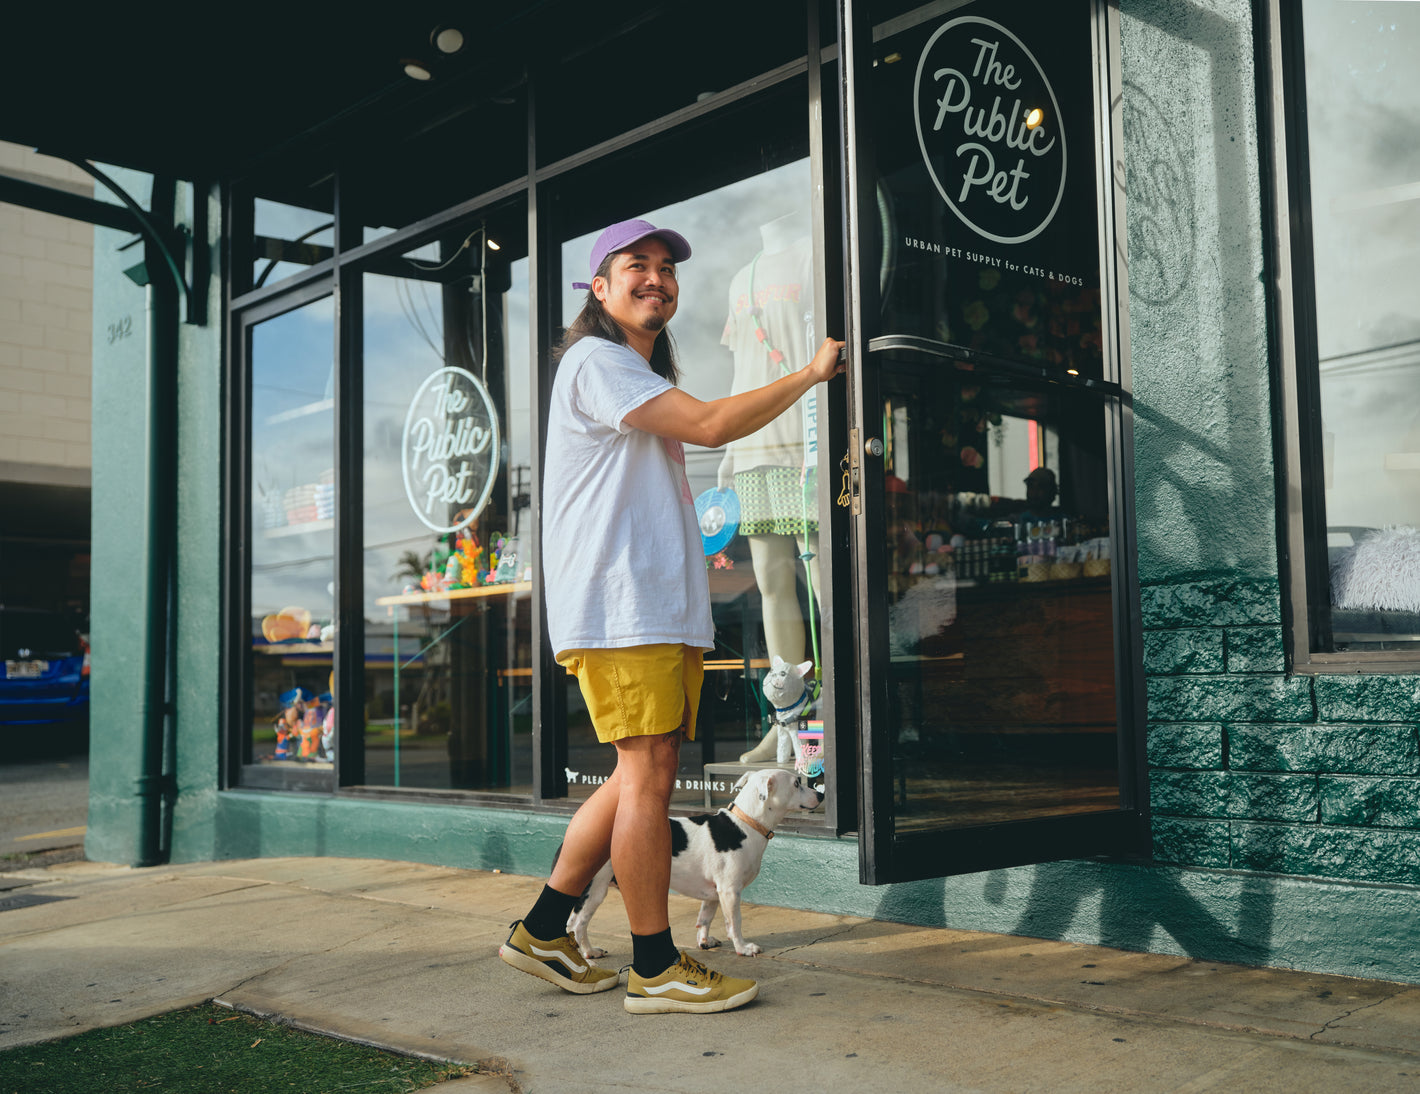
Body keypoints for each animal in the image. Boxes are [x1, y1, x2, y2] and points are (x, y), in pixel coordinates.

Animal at [568, 767, 823, 954]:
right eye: (797, 783)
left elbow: (704, 919)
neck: (745, 824)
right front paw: (743, 948)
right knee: (577, 925)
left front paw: (704, 941)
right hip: (595, 889)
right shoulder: (730, 891)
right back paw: (589, 953)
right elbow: (735, 923)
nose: (821, 794)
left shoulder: (713, 894)